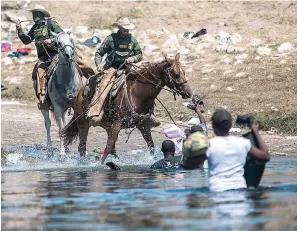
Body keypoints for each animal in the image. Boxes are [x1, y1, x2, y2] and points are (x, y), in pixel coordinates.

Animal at [61, 53, 192, 163]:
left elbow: (151, 146)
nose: (188, 92)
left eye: (184, 72)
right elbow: (108, 147)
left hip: (107, 125)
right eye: (176, 74)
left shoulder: (143, 125)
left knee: (111, 149)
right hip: (83, 122)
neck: (137, 94)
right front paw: (101, 164)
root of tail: (79, 93)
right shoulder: (118, 123)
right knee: (82, 147)